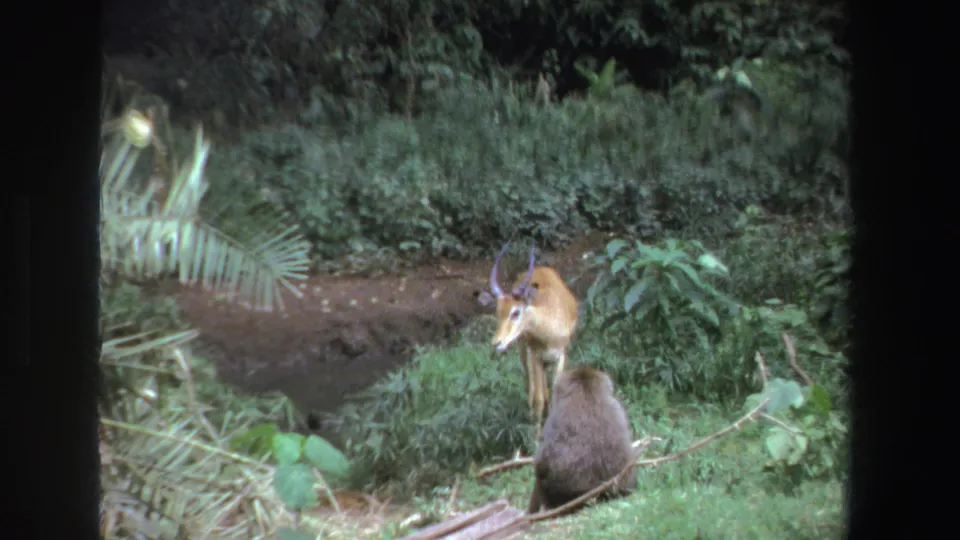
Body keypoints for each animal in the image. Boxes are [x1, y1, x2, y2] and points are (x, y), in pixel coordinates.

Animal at [477, 242, 579, 438]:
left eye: (515, 312)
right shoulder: (535, 356)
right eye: (498, 312)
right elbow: (538, 399)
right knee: (532, 388)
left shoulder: (560, 356)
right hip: (525, 353)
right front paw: (536, 438)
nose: (496, 343)